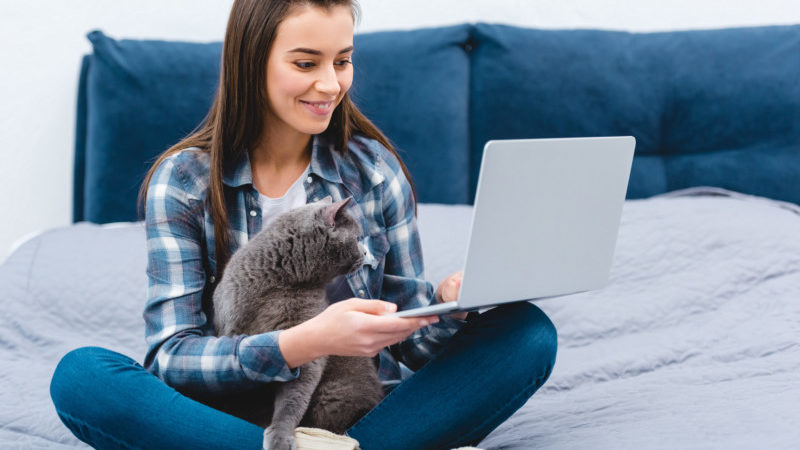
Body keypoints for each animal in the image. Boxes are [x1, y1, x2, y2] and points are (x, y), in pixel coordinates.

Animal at [211, 197, 386, 450]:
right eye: (356, 238)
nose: (364, 252)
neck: (280, 282)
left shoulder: (306, 334)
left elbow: (293, 397)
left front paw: (280, 436)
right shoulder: (230, 327)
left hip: (333, 394)